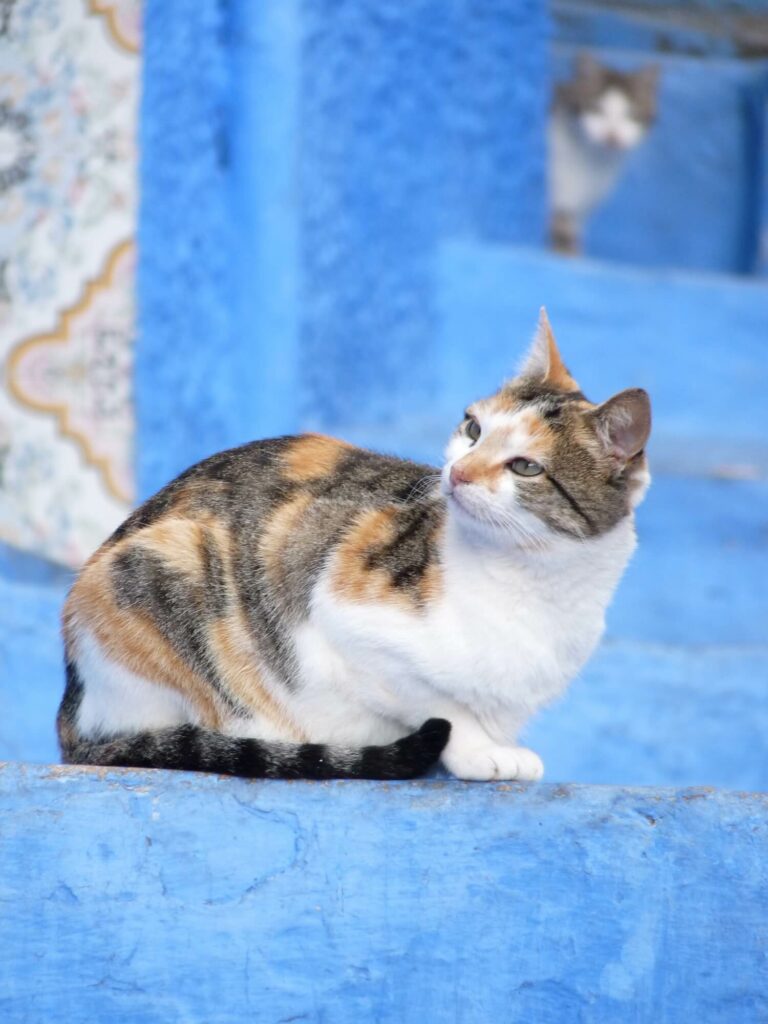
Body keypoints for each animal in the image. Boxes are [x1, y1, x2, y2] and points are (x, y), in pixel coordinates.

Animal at [57, 307, 651, 778]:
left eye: (525, 467)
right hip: (158, 564)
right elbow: (442, 706)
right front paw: (482, 751)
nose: (458, 473)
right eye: (473, 430)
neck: (534, 580)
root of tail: (70, 716)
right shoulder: (344, 618)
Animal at [548, 51, 663, 256]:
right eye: (595, 109)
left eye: (631, 115)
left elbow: (571, 228)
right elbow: (560, 226)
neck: (592, 160)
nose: (612, 135)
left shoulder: (583, 206)